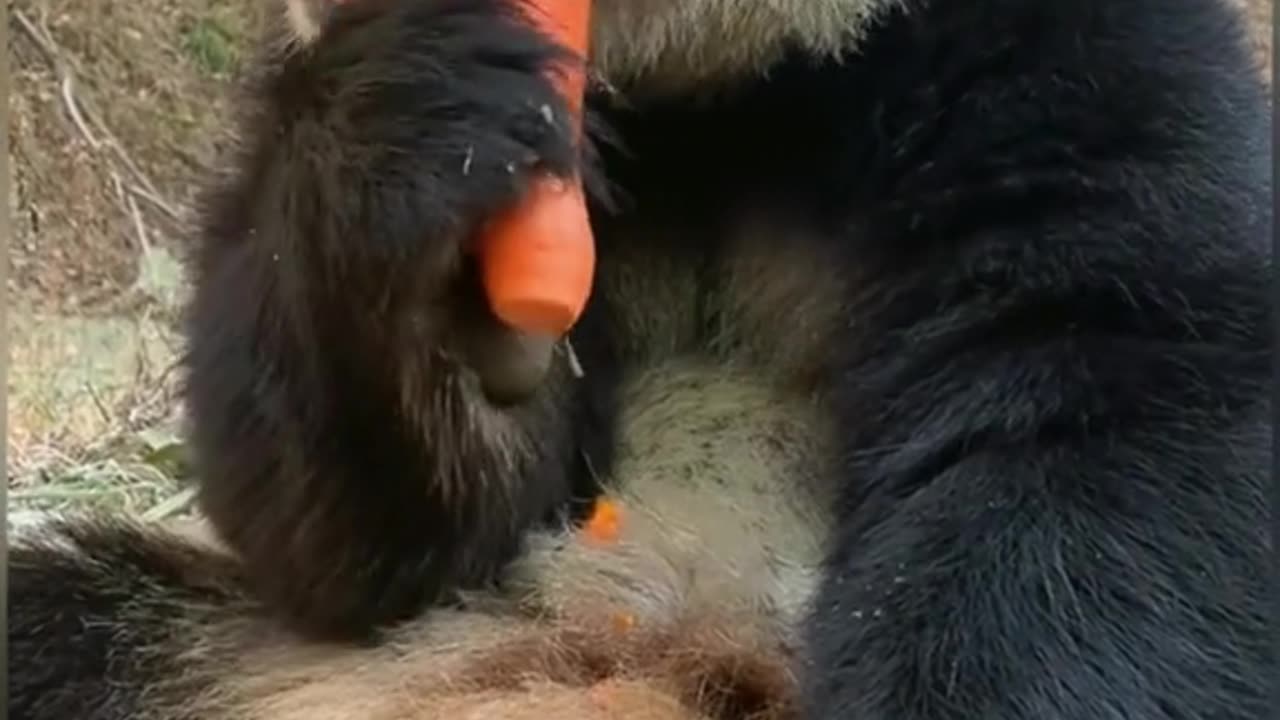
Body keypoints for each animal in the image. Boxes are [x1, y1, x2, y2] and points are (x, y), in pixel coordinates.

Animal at [7, 0, 1269, 712]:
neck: (721, 93)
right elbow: (392, 540)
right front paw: (418, 124)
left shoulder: (1051, 65)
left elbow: (1098, 424)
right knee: (58, 624)